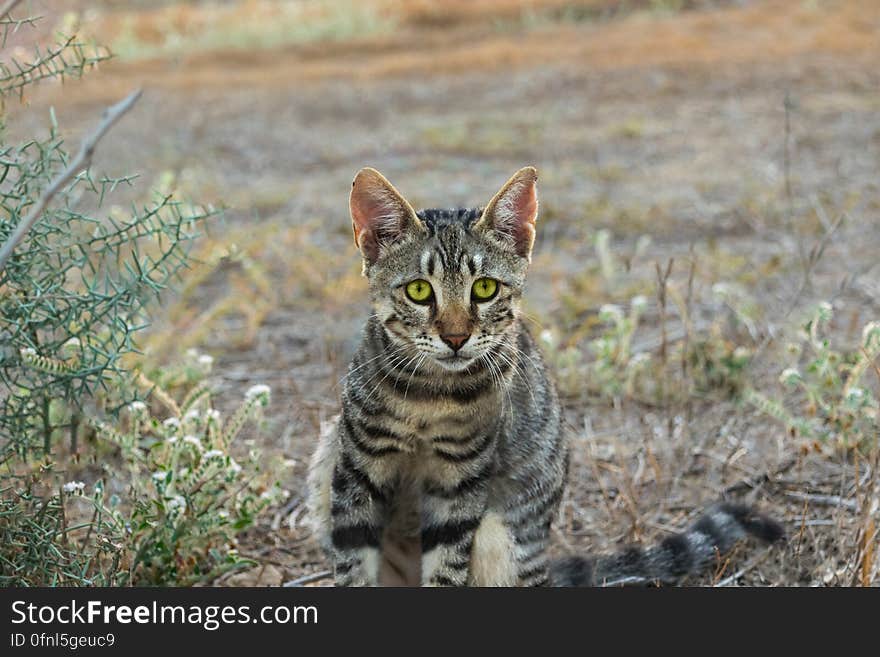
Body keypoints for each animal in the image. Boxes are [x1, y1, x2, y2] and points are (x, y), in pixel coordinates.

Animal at [304, 165, 784, 584]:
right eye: (420, 290)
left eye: (485, 288)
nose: (456, 337)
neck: (429, 397)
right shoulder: (356, 471)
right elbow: (354, 566)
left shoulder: (461, 483)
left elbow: (445, 569)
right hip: (326, 463)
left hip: (501, 536)